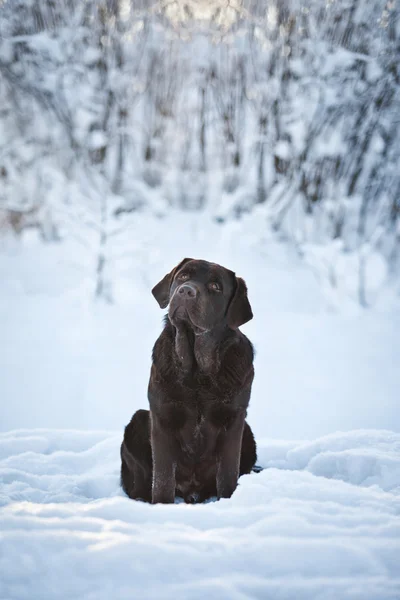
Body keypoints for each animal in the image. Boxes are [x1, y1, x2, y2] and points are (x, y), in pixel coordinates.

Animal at [120, 256, 256, 502]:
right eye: (183, 276)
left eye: (215, 286)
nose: (186, 290)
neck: (198, 372)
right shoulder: (162, 418)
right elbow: (163, 478)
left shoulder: (234, 420)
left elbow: (227, 474)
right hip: (138, 420)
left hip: (248, 432)